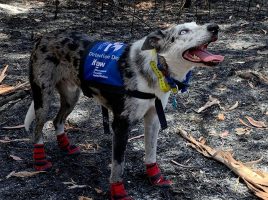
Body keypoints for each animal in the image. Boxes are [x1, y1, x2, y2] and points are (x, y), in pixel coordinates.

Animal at [24, 21, 224, 199]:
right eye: (183, 31)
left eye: (198, 24)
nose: (215, 27)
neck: (156, 68)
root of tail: (44, 36)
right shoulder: (121, 125)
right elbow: (118, 165)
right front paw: (118, 193)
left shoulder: (153, 120)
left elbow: (151, 153)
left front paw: (155, 178)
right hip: (43, 98)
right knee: (38, 128)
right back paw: (40, 160)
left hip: (71, 97)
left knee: (57, 120)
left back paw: (65, 146)